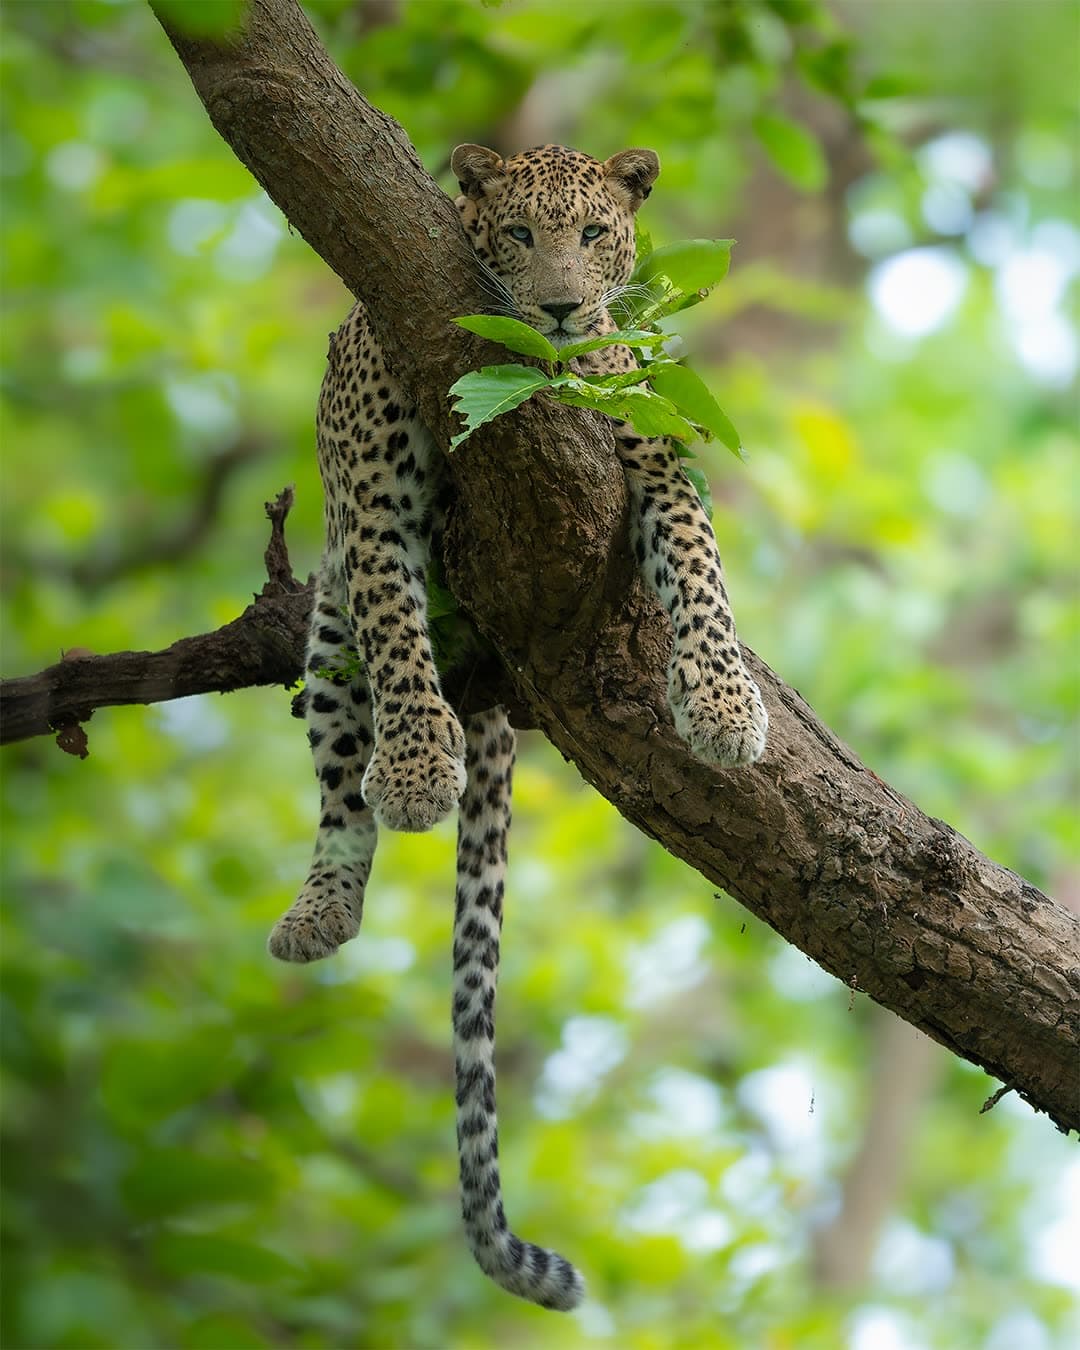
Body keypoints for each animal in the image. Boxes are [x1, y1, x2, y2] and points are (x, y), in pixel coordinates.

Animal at [267, 143, 768, 1311]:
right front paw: (415, 767)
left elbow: (701, 571)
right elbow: (397, 630)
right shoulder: (373, 503)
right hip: (324, 635)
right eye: (519, 235)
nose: (560, 308)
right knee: (340, 778)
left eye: (594, 235)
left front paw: (724, 705)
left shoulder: (652, 450)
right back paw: (324, 900)